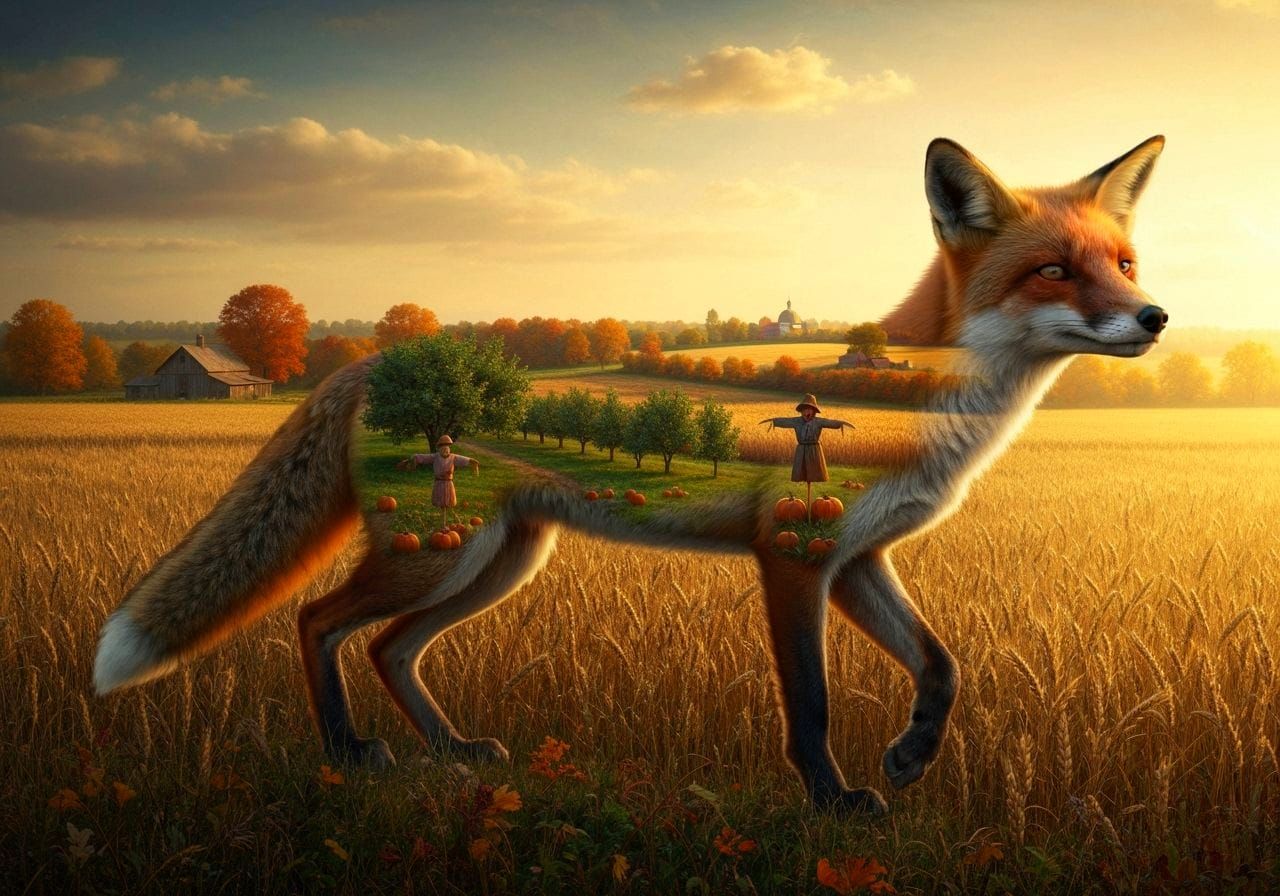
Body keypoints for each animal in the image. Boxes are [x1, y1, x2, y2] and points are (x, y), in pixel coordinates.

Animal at [94, 135, 1168, 816]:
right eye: (1055, 272)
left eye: (1122, 262)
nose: (1155, 316)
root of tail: (374, 359)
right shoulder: (793, 558)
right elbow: (812, 704)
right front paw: (832, 803)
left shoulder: (857, 559)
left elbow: (944, 665)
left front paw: (911, 757)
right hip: (438, 552)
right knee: (317, 621)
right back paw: (346, 755)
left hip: (497, 561)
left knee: (389, 648)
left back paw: (450, 753)